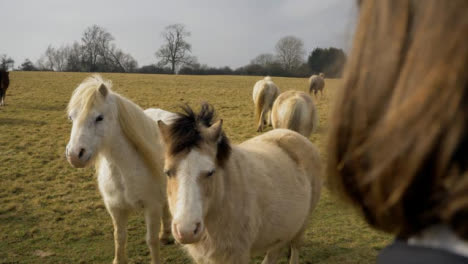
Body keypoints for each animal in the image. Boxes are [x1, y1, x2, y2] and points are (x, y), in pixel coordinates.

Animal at [65, 75, 176, 264]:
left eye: (99, 118)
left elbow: (151, 240)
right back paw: (165, 235)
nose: (74, 155)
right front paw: (119, 259)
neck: (124, 169)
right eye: (71, 117)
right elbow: (120, 236)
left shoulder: (151, 207)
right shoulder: (115, 208)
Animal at [157, 103, 322, 264]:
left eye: (211, 172)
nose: (186, 231)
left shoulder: (236, 255)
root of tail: (296, 135)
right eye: (167, 172)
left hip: (302, 224)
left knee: (294, 247)